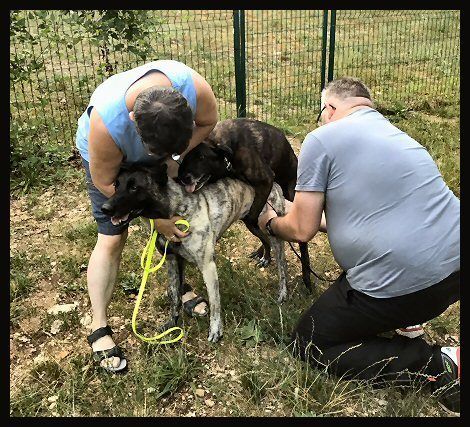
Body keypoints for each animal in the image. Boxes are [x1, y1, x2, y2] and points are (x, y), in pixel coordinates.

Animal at [101, 164, 288, 344]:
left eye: (134, 187)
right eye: (116, 185)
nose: (105, 208)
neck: (176, 212)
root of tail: (274, 182)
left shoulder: (207, 265)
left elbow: (214, 301)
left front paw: (216, 330)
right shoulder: (172, 261)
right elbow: (174, 295)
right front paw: (172, 323)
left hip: (273, 229)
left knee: (282, 264)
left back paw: (282, 293)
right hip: (252, 222)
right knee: (265, 239)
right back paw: (265, 256)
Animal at [178, 118, 314, 292]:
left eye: (201, 157)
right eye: (184, 158)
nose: (182, 177)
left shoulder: (265, 181)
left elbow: (252, 220)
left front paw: (266, 250)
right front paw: (265, 251)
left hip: (292, 195)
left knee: (302, 241)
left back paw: (306, 276)